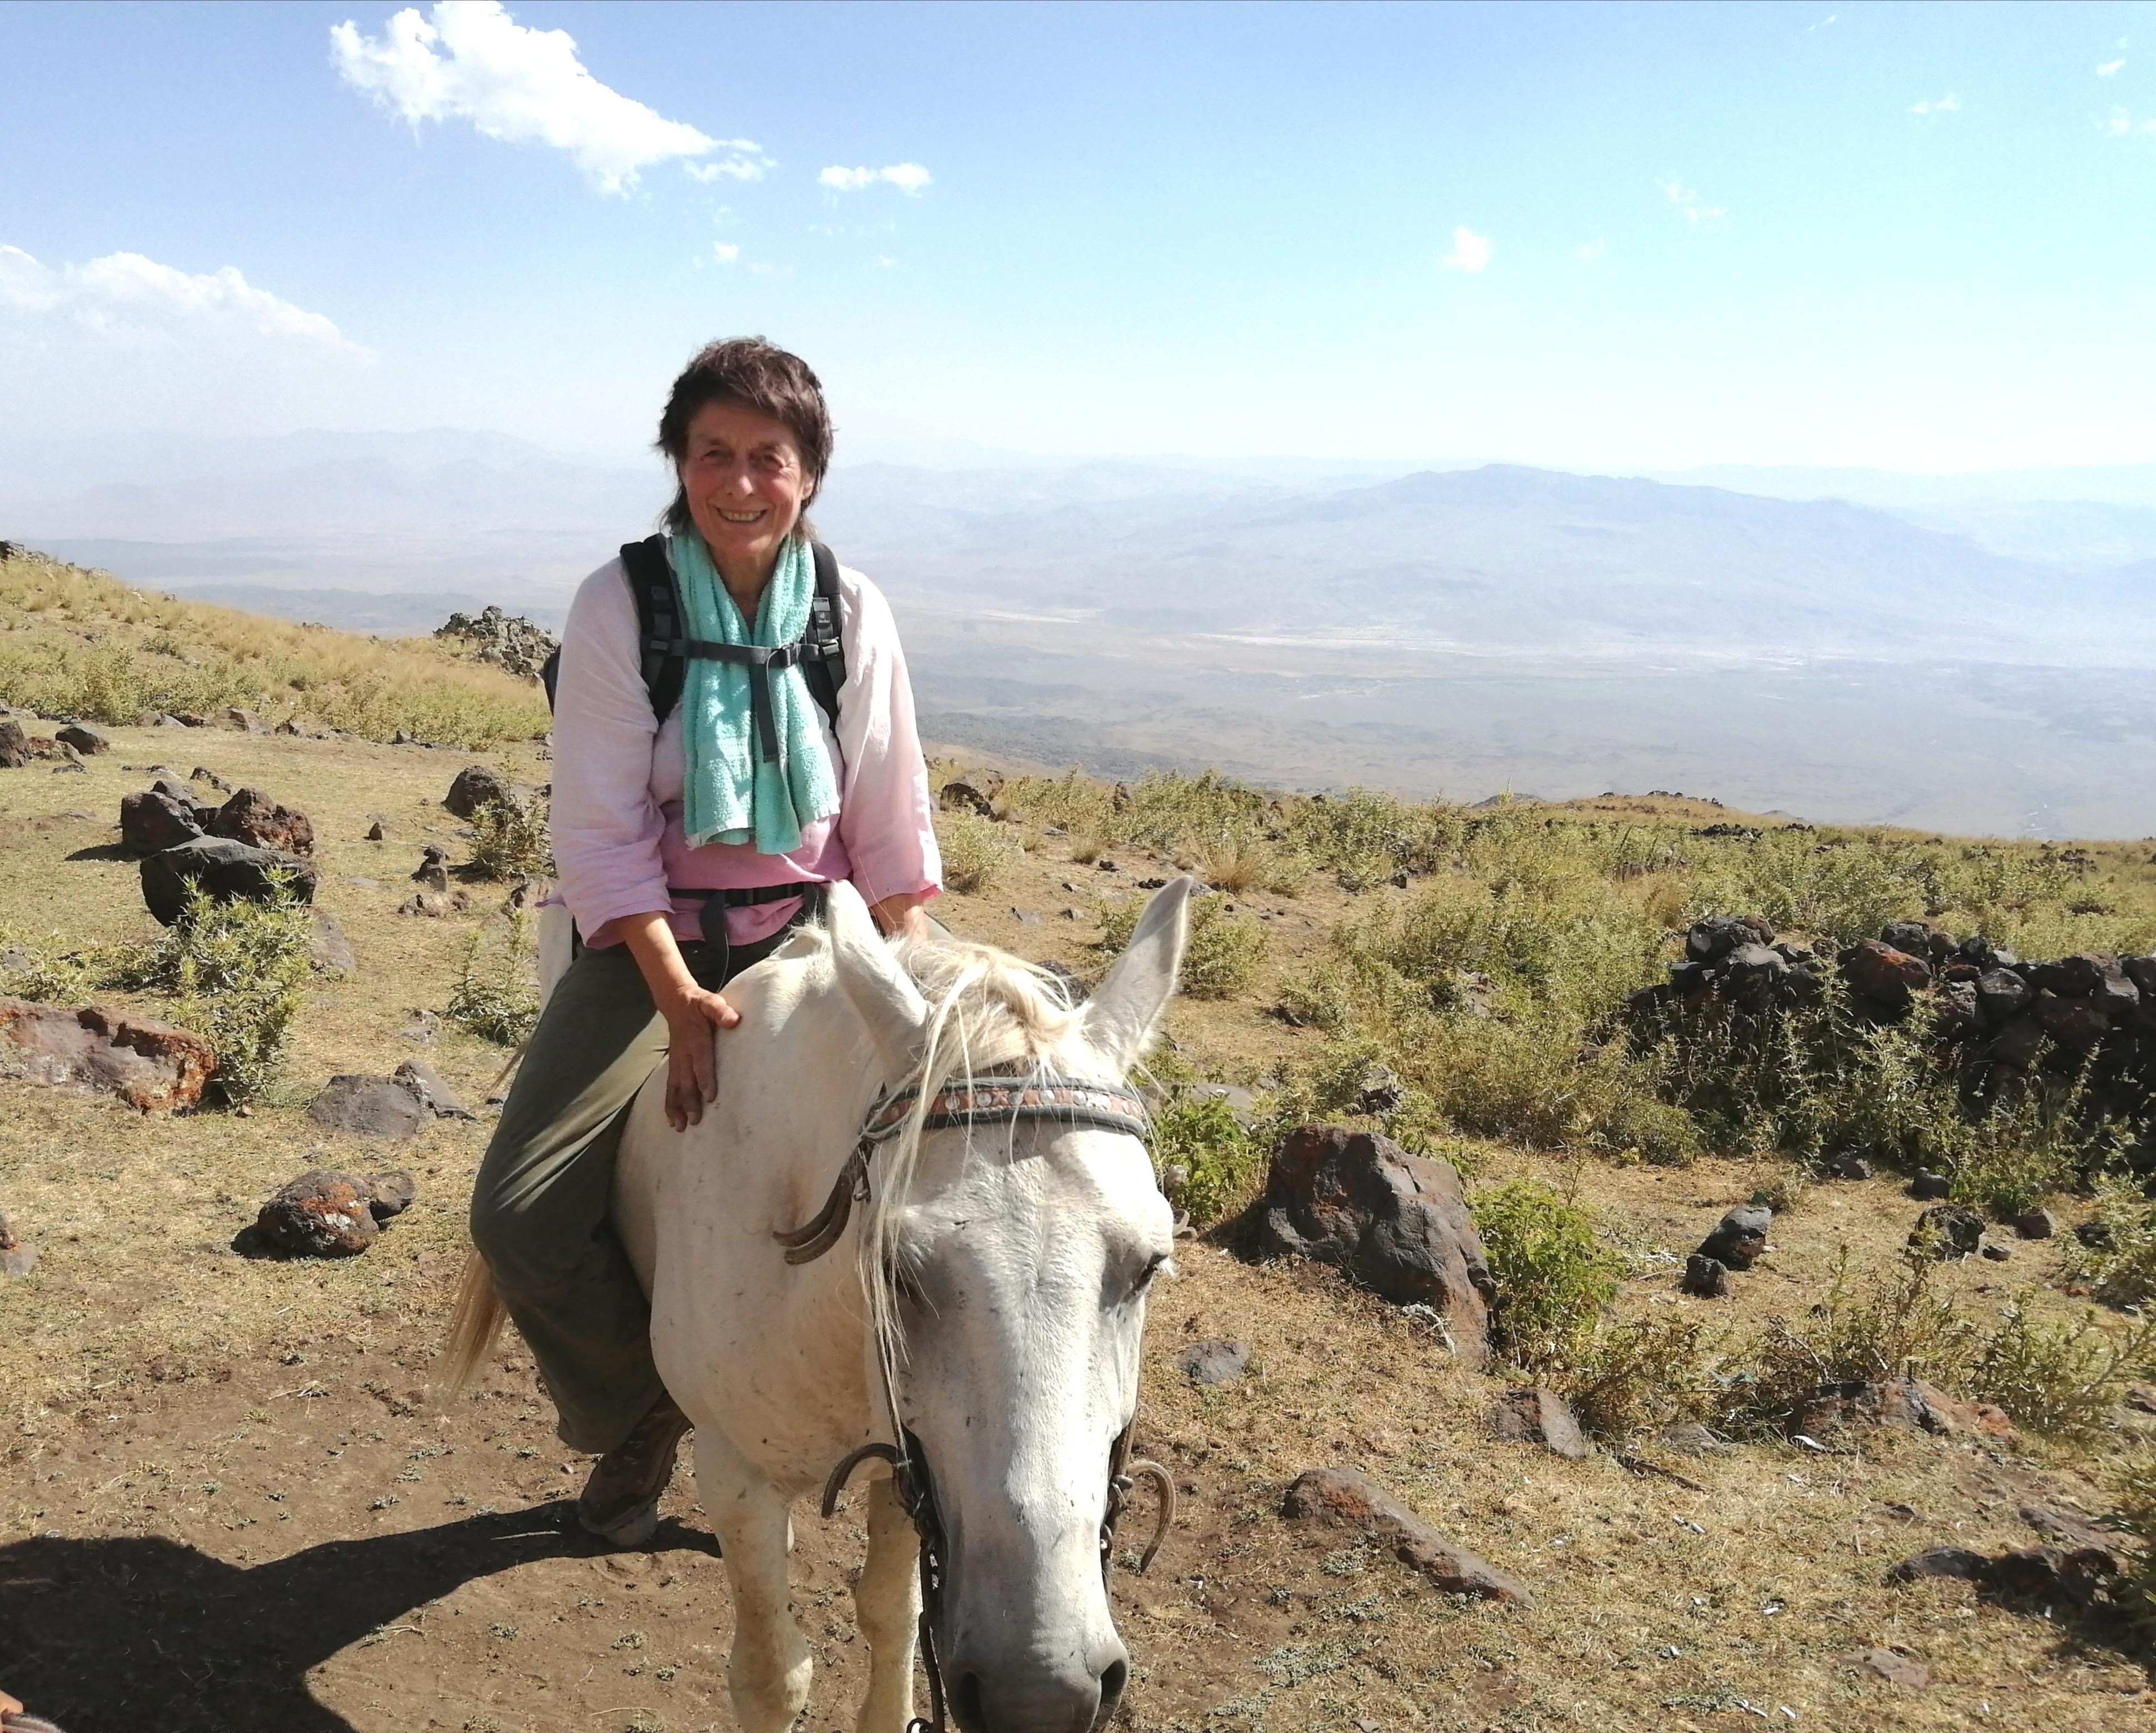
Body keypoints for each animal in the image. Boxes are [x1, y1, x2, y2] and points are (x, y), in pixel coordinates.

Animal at [454, 879, 1198, 1733]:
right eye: (896, 1269)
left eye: (1147, 1267)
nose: (1040, 1695)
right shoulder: (739, 1476)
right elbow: (772, 1676)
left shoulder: (910, 1470)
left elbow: (893, 1616)